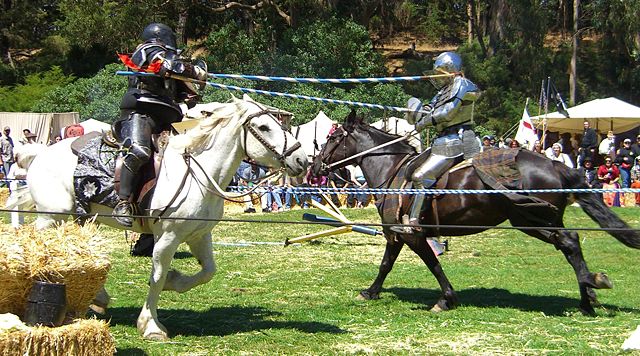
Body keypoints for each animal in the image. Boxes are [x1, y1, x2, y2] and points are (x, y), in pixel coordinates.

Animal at [22, 96, 308, 340]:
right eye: (264, 127)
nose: (301, 159)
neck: (198, 175)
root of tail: (40, 154)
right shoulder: (168, 238)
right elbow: (157, 278)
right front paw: (151, 325)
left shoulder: (199, 236)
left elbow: (207, 272)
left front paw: (175, 280)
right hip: (52, 216)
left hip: (81, 217)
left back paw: (99, 298)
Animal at [312, 110, 640, 314]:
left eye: (332, 138)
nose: (315, 166)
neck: (392, 169)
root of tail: (555, 164)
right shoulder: (396, 235)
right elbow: (386, 264)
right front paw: (371, 292)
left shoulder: (409, 234)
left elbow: (431, 264)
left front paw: (446, 299)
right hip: (537, 221)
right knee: (570, 245)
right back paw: (587, 296)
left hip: (531, 220)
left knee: (570, 241)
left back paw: (590, 287)